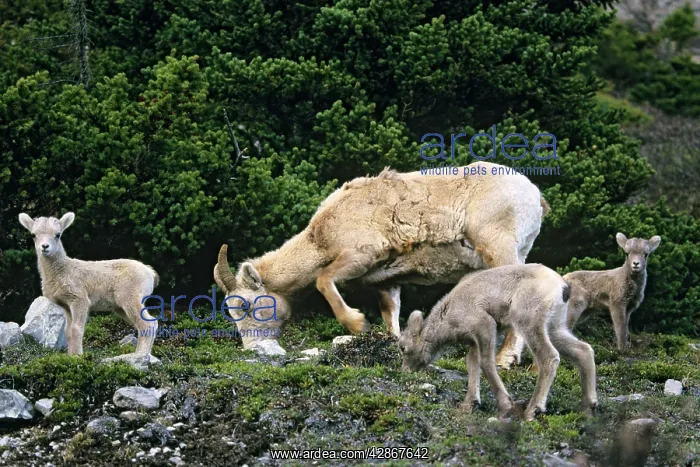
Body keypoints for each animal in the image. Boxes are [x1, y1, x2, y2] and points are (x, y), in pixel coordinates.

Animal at [18, 212, 159, 364]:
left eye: (58, 234)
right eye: (33, 235)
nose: (45, 246)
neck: (63, 271)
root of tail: (151, 273)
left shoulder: (80, 299)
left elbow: (76, 329)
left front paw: (78, 357)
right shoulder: (66, 306)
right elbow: (68, 331)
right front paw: (71, 356)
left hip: (131, 298)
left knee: (146, 324)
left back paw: (139, 356)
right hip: (121, 307)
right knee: (152, 323)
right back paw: (147, 355)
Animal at [214, 161, 549, 350]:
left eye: (245, 305)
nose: (253, 348)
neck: (320, 237)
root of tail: (534, 194)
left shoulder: (360, 255)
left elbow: (323, 280)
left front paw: (357, 324)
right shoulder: (387, 281)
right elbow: (391, 315)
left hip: (498, 249)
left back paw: (507, 360)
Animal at [398, 263, 598, 422]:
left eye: (403, 348)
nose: (405, 371)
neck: (447, 318)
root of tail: (562, 287)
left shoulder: (485, 325)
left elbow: (486, 363)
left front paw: (505, 406)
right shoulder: (474, 342)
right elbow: (472, 364)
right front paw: (469, 404)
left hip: (529, 323)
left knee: (549, 357)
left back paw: (532, 411)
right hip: (555, 328)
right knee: (584, 350)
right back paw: (587, 409)